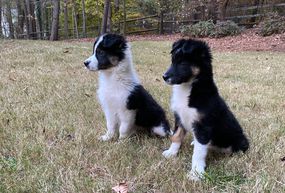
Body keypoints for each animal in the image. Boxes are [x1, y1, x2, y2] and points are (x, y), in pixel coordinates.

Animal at [162, 38, 248, 180]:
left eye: (183, 63)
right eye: (173, 60)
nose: (164, 77)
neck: (188, 88)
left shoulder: (203, 125)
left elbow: (198, 152)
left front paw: (196, 174)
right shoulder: (179, 117)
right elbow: (176, 136)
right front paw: (171, 153)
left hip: (238, 141)